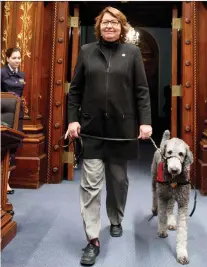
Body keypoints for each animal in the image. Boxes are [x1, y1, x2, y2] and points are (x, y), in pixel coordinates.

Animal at [151, 130, 193, 266]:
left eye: (181, 154)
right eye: (169, 152)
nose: (174, 170)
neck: (174, 179)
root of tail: (161, 145)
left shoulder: (183, 203)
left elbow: (182, 231)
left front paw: (182, 254)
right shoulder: (162, 197)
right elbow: (162, 217)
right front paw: (162, 231)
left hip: (172, 196)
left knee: (170, 207)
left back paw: (171, 221)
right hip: (154, 180)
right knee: (154, 194)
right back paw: (154, 209)